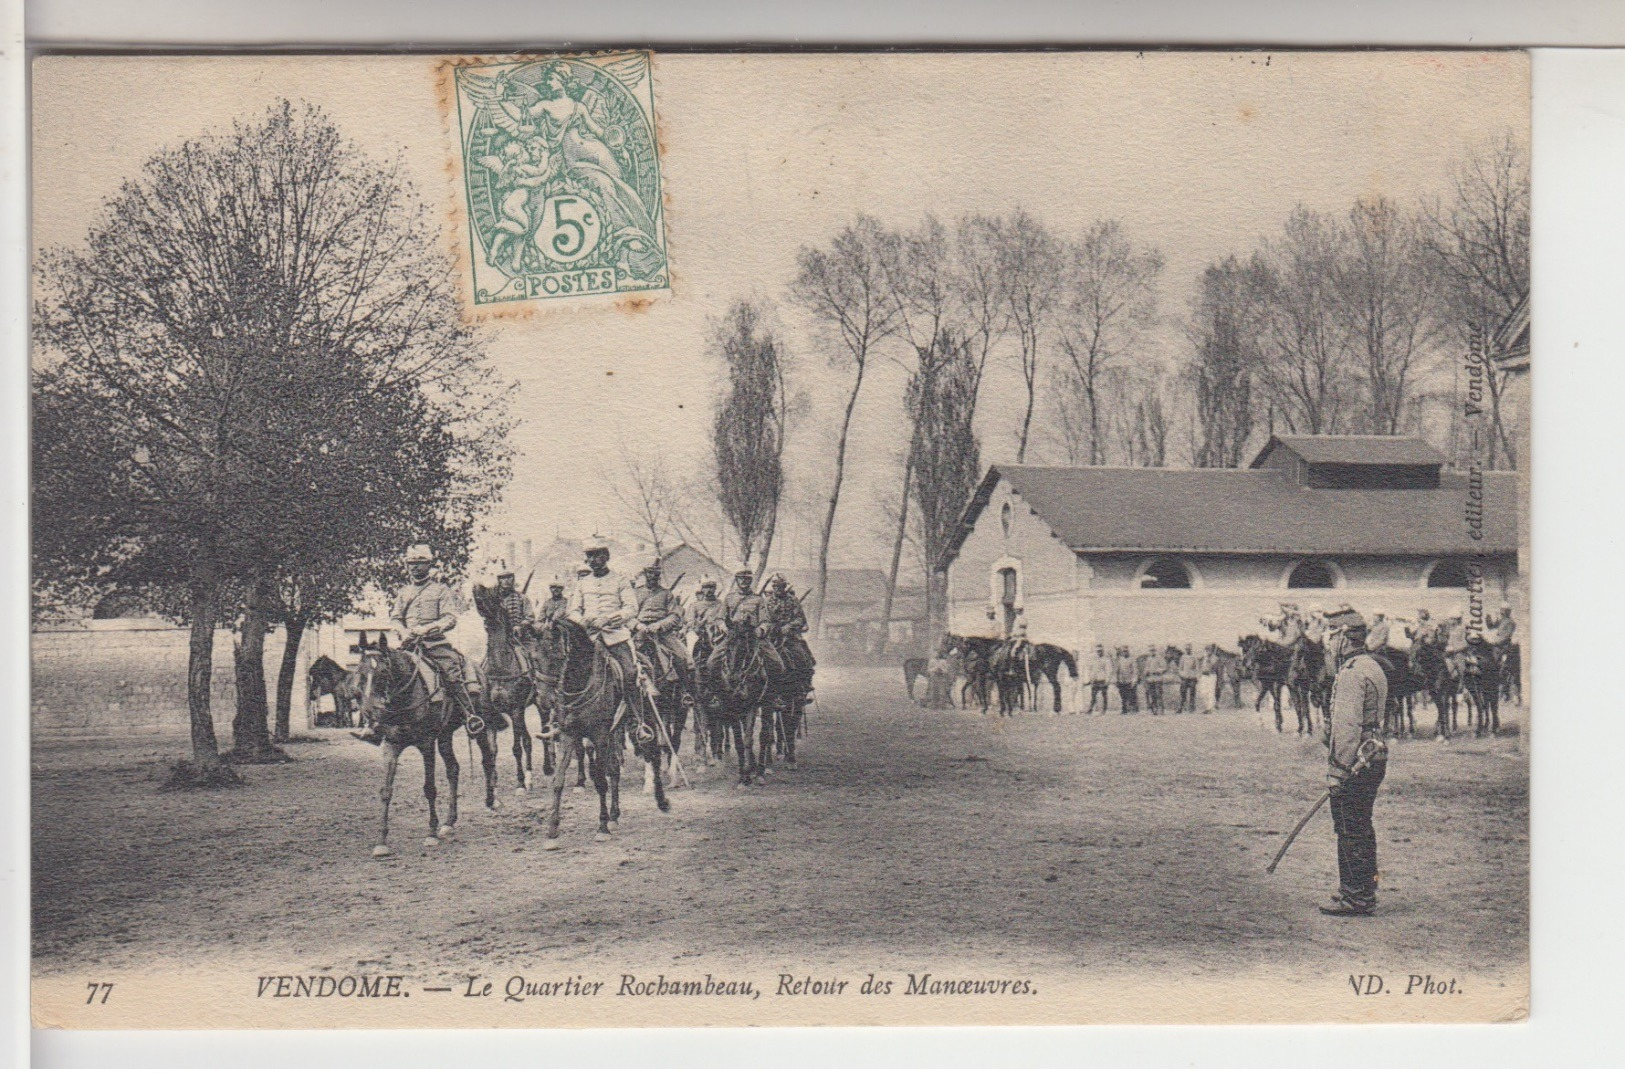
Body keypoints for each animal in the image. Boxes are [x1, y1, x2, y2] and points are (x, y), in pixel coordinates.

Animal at [355, 627, 500, 851]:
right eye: (360, 674)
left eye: (383, 673)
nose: (370, 712)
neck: (404, 699)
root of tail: (480, 669)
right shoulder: (391, 745)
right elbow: (386, 791)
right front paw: (381, 841)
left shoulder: (426, 744)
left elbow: (429, 788)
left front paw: (431, 832)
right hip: (445, 735)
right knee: (453, 769)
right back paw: (449, 822)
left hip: (481, 728)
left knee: (487, 760)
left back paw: (491, 801)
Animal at [526, 614, 666, 851]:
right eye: (534, 658)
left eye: (557, 656)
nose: (545, 701)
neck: (580, 683)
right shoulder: (569, 734)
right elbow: (558, 780)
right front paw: (552, 831)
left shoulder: (599, 736)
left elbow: (600, 780)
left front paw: (602, 828)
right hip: (615, 732)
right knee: (615, 770)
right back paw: (615, 815)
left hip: (644, 721)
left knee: (653, 754)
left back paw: (662, 801)